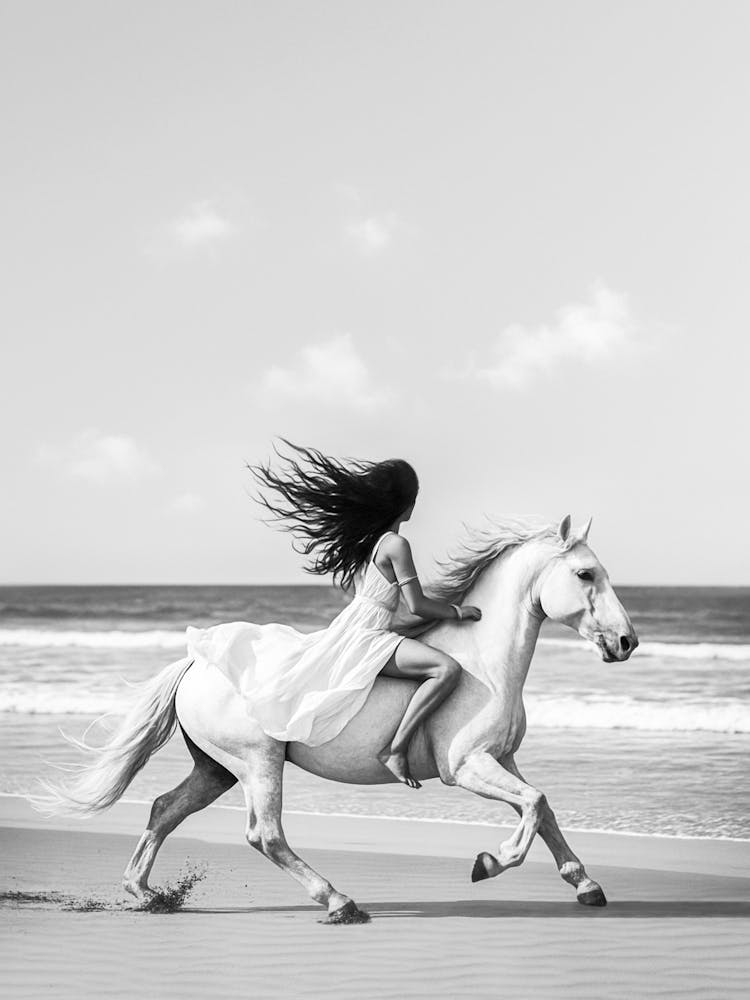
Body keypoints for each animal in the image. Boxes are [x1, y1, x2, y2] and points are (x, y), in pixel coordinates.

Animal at [36, 514, 638, 924]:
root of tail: (195, 664)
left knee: (165, 810)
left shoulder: (502, 759)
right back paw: (340, 902)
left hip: (218, 768)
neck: (482, 664)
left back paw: (146, 894)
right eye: (586, 573)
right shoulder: (467, 766)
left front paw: (586, 886)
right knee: (265, 835)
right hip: (258, 763)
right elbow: (535, 806)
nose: (627, 642)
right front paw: (489, 862)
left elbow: (546, 811)